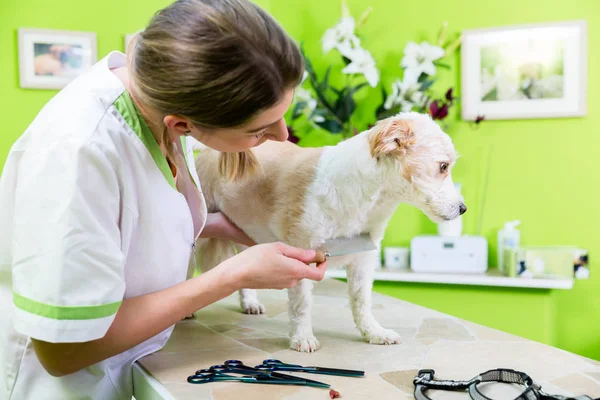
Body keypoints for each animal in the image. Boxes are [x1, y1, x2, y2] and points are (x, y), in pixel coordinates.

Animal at [192, 111, 464, 352]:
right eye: (443, 166)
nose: (463, 208)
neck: (363, 195)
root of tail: (208, 151)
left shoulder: (364, 259)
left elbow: (362, 301)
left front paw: (373, 332)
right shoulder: (300, 253)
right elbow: (302, 304)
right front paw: (302, 337)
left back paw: (249, 302)